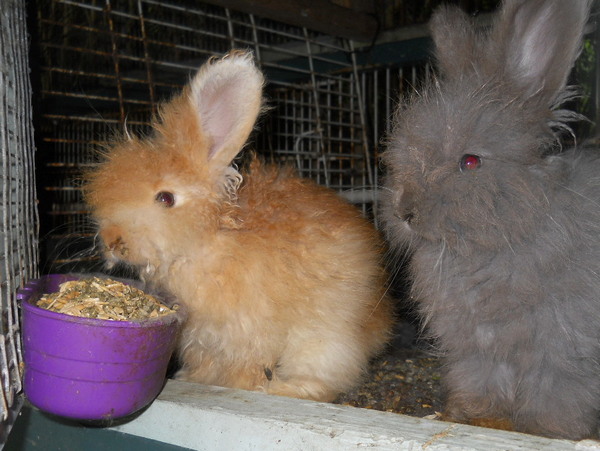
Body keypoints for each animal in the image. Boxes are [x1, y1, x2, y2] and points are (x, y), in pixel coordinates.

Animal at [84, 50, 394, 402]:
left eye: (165, 198)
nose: (111, 240)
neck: (209, 241)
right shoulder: (202, 339)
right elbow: (204, 363)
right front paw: (193, 379)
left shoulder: (246, 335)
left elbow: (245, 367)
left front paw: (239, 387)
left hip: (323, 338)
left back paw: (287, 389)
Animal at [382, 0, 596, 442]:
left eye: (470, 162)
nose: (404, 211)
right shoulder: (477, 346)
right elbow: (482, 380)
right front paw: (477, 417)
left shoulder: (563, 347)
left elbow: (556, 391)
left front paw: (548, 431)